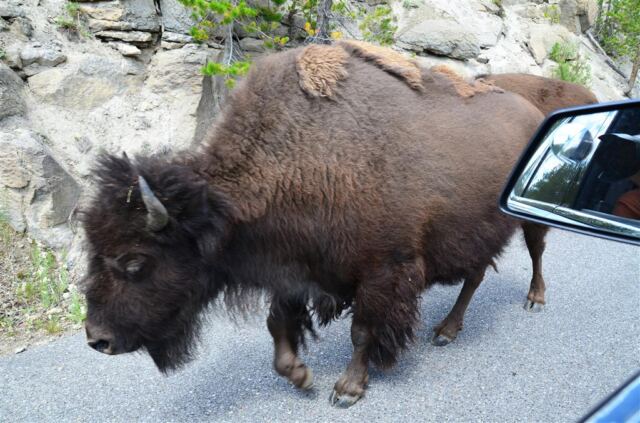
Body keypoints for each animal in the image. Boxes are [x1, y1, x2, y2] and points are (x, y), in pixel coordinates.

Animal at [81, 40, 597, 407]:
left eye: (134, 261)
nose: (96, 339)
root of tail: (532, 110)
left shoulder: (382, 271)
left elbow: (362, 331)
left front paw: (346, 389)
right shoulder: (296, 268)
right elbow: (278, 323)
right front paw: (300, 377)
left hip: (527, 217)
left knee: (534, 251)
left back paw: (532, 300)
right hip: (473, 234)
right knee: (474, 276)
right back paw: (447, 330)